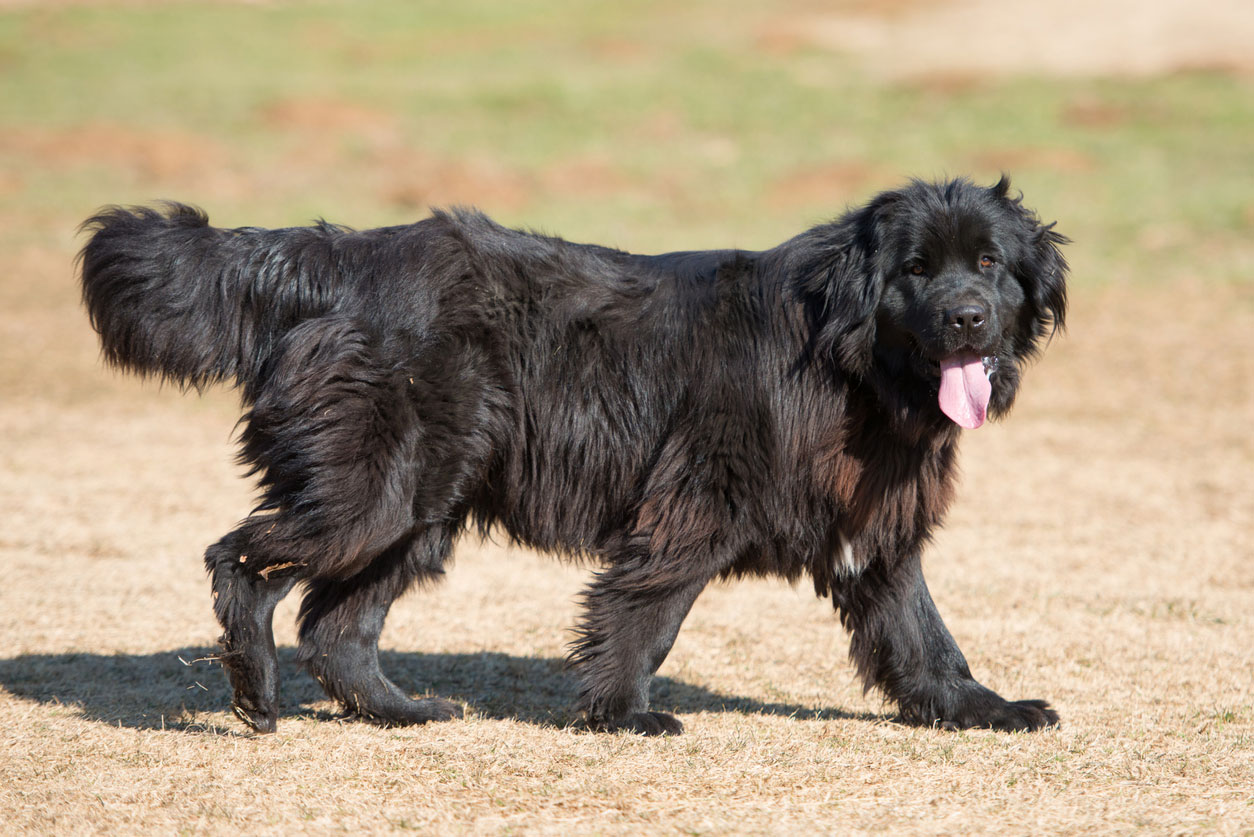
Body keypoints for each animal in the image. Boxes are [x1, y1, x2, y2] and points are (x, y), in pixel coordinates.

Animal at [75, 176, 1068, 732]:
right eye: (915, 269)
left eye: (989, 264)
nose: (966, 319)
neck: (846, 353)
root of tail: (338, 259)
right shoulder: (693, 502)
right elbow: (645, 612)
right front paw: (621, 714)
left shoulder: (875, 527)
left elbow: (923, 635)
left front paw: (983, 710)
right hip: (374, 489)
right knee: (241, 562)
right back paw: (254, 691)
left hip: (421, 505)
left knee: (337, 627)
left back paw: (402, 711)